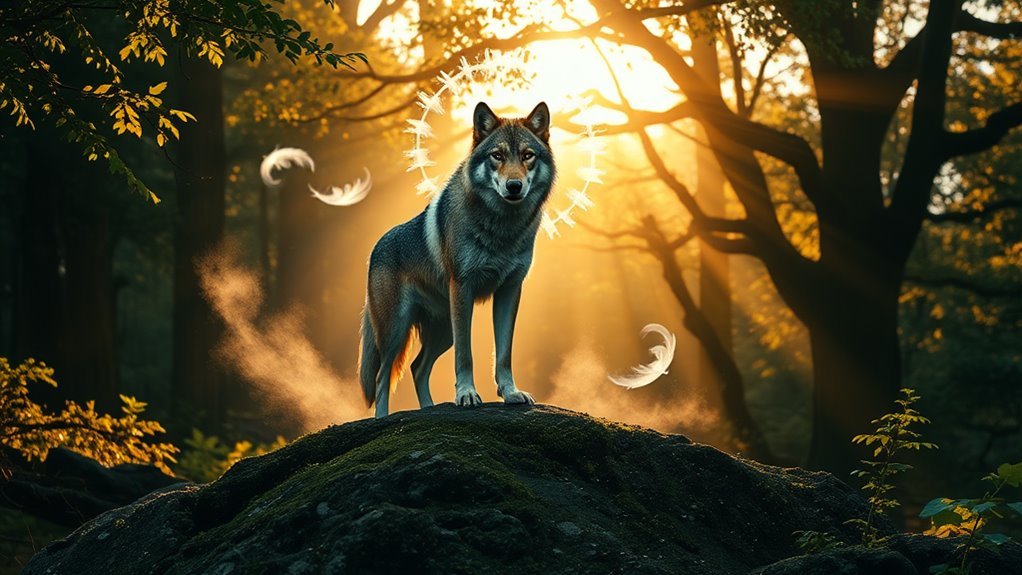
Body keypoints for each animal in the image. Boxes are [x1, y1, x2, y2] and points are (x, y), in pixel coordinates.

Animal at [359, 101, 555, 418]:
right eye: (497, 156)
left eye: (528, 155)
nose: (514, 186)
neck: (502, 230)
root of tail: (374, 249)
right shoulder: (463, 289)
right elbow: (466, 355)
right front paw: (467, 395)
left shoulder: (510, 290)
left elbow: (504, 353)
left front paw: (510, 393)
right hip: (397, 330)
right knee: (382, 376)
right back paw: (382, 419)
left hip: (443, 332)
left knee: (417, 367)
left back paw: (429, 409)